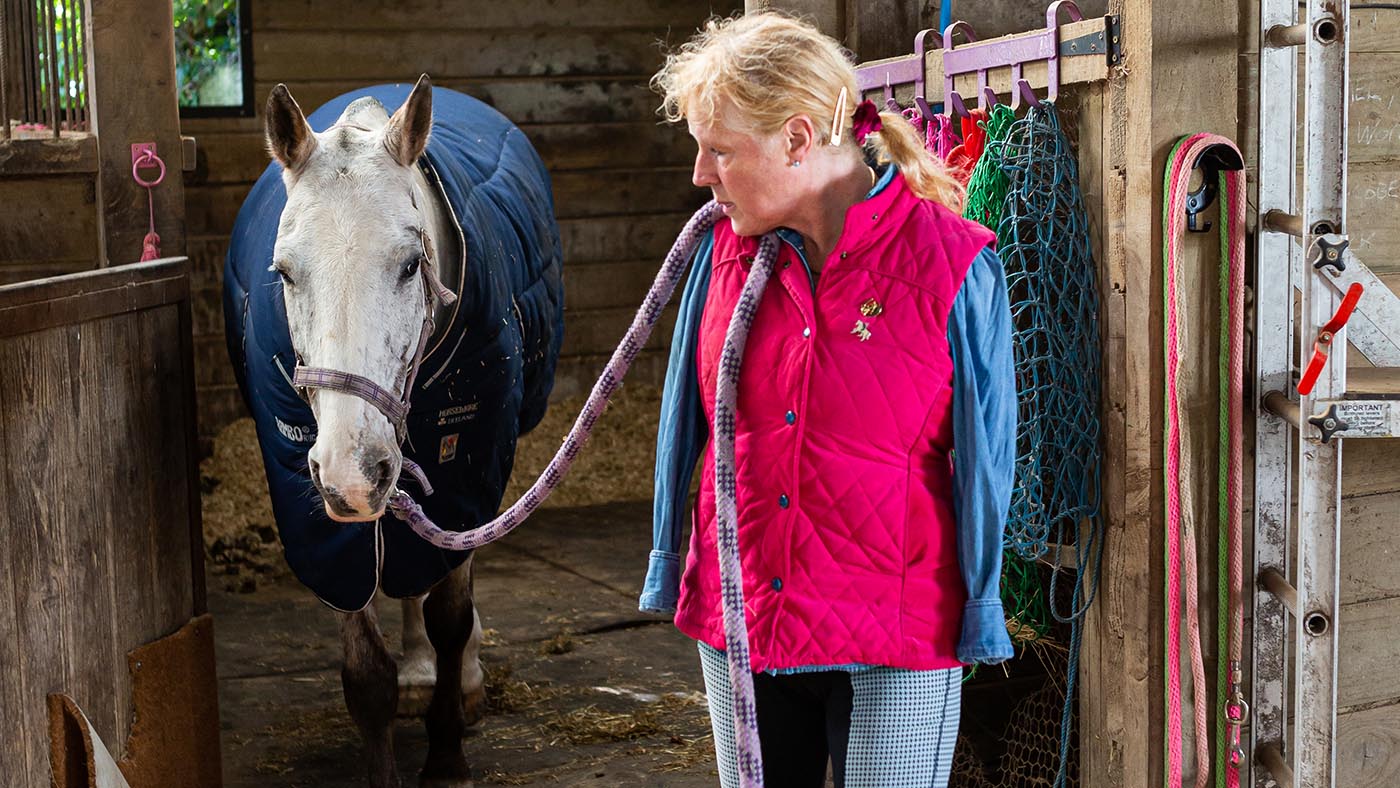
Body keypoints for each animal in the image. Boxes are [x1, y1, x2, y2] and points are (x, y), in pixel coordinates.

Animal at [223, 75, 564, 787]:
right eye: (284, 272)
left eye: (411, 264)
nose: (352, 471)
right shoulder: (324, 523)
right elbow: (365, 668)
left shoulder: (467, 470)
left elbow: (450, 615)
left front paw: (447, 754)